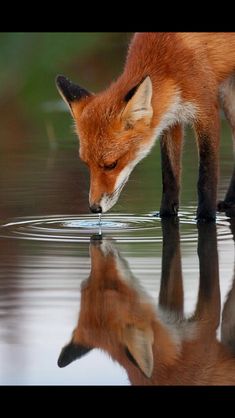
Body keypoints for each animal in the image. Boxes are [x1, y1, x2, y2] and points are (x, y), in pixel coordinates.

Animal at [55, 33, 235, 222]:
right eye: (86, 164)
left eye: (111, 165)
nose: (94, 208)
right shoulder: (170, 119)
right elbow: (170, 177)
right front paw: (165, 214)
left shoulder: (206, 111)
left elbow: (206, 177)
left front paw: (206, 217)